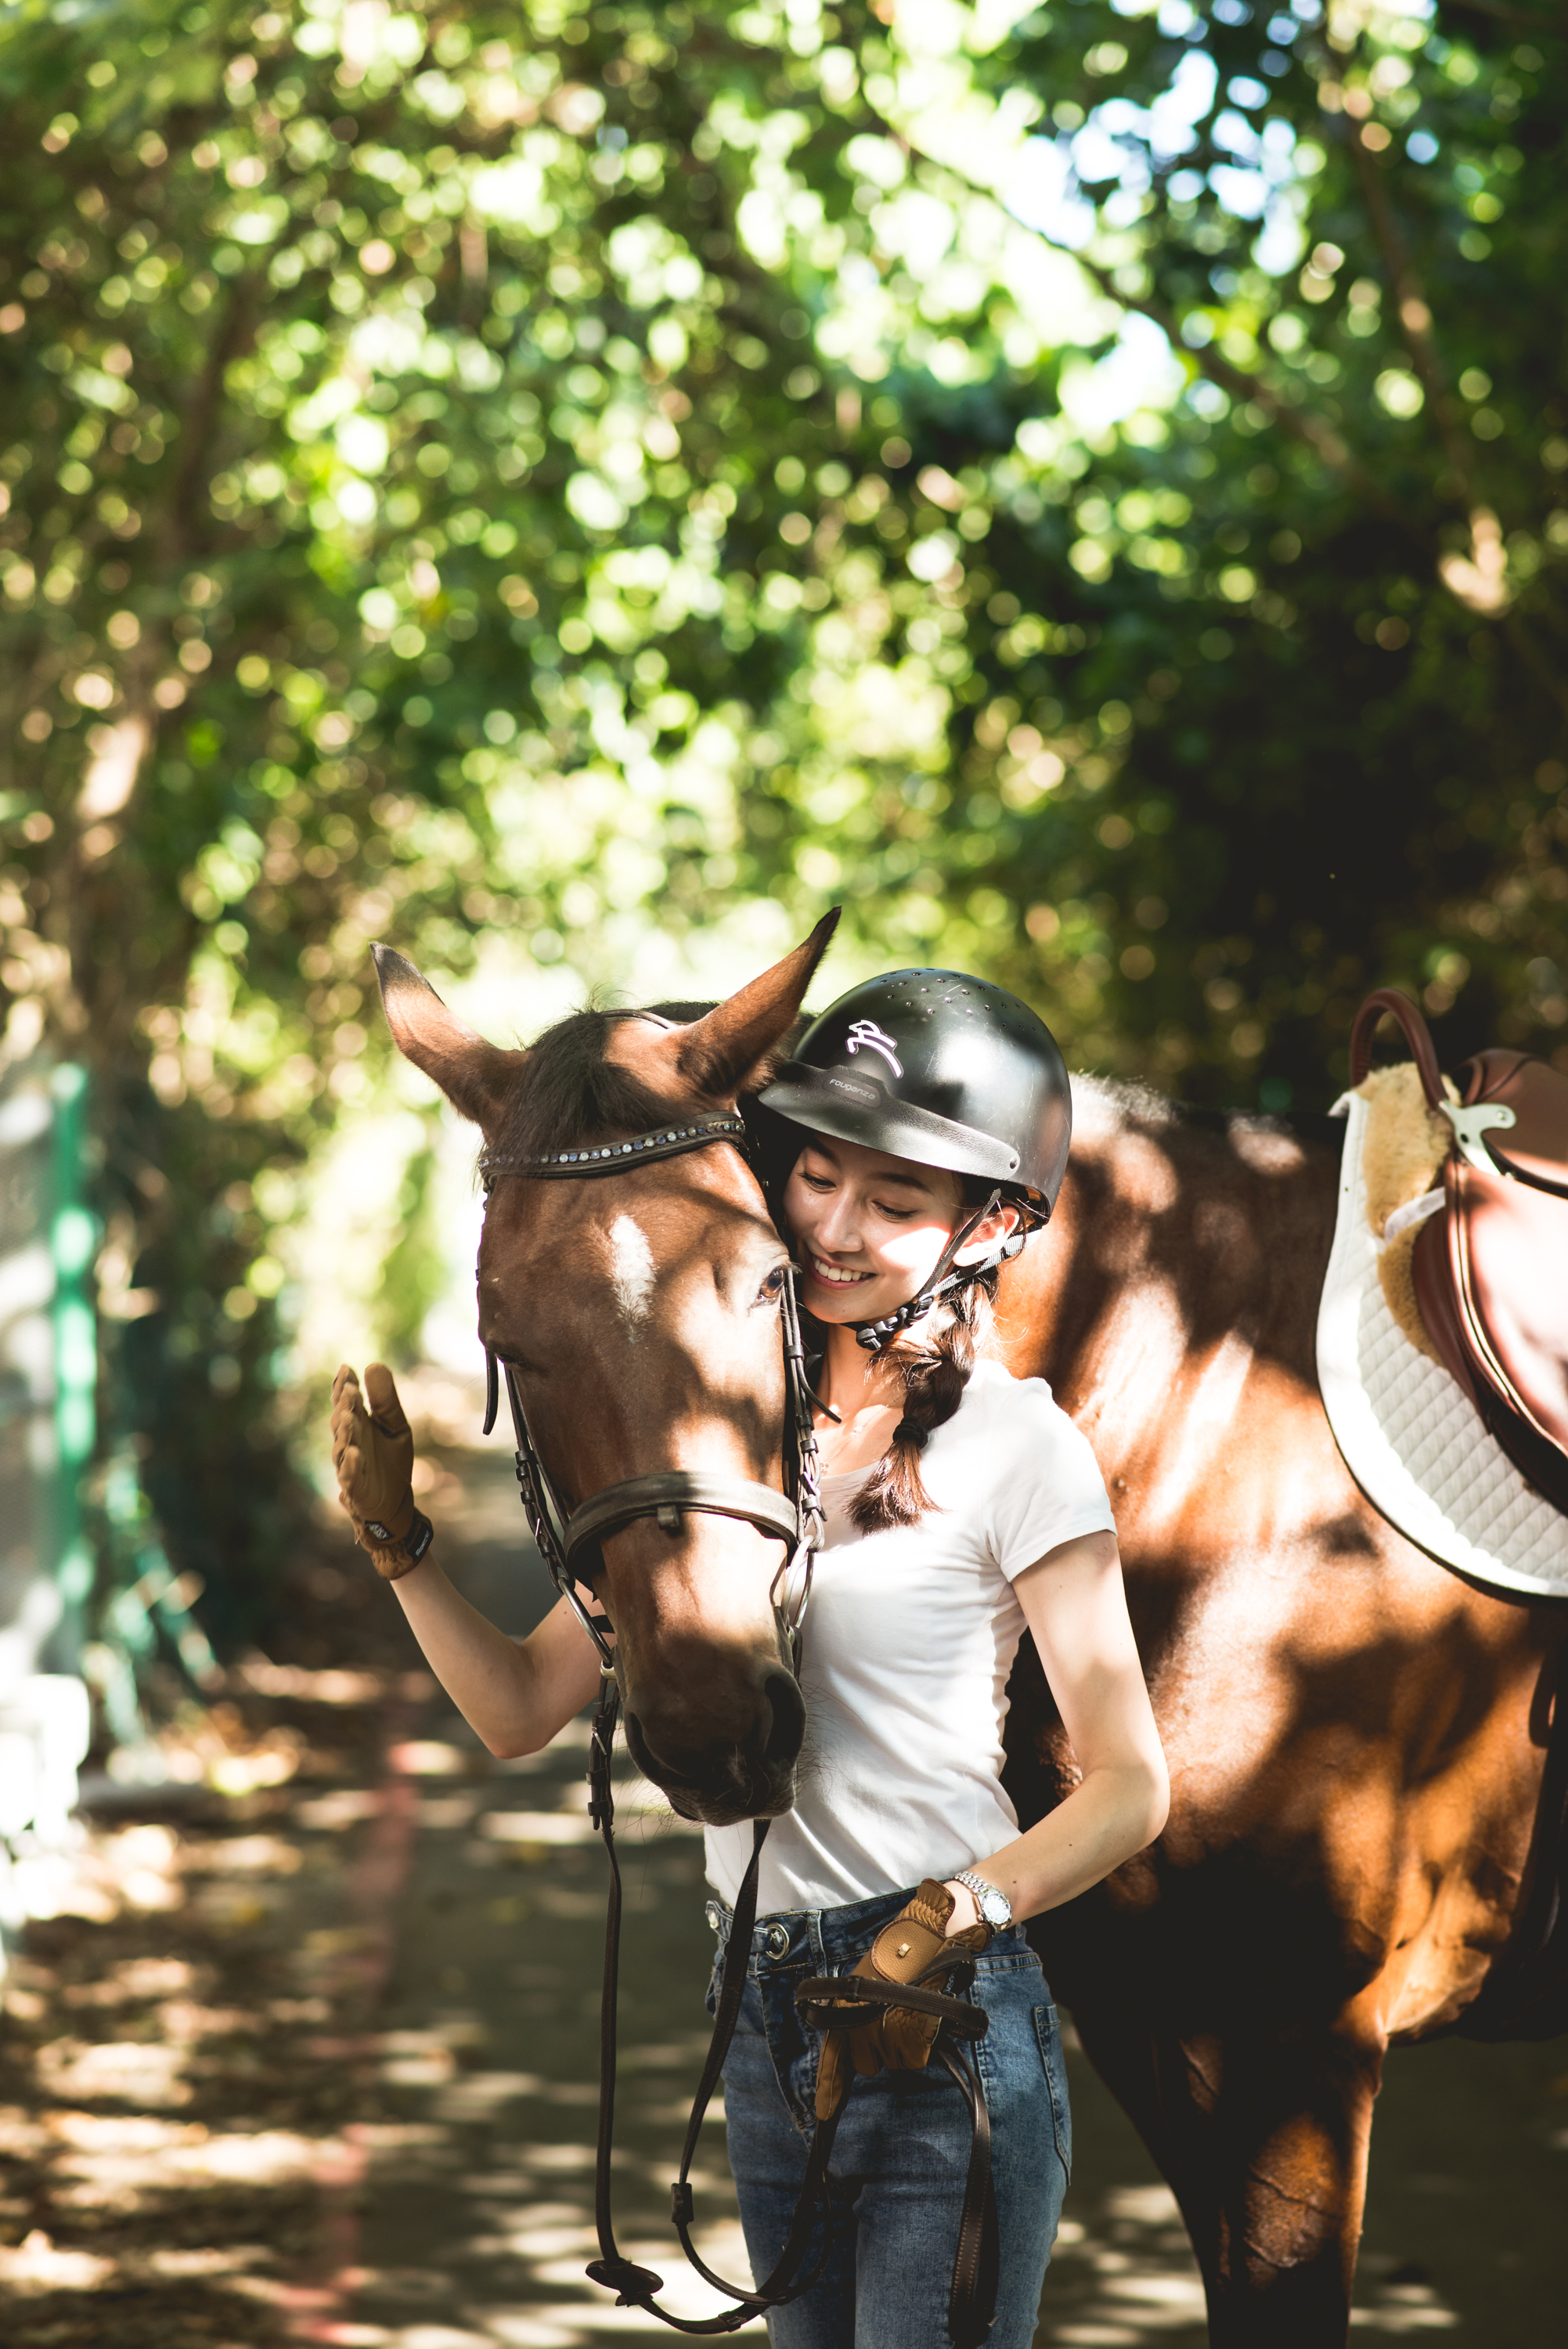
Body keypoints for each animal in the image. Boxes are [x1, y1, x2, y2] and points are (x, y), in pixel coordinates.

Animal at [373, 926, 1559, 2340]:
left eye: (767, 1278)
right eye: (503, 1332)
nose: (717, 1721)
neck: (1203, 1424)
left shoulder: (1288, 2059)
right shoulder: (1168, 2039)